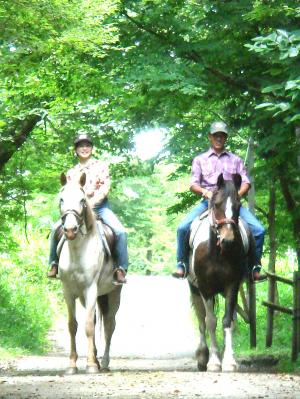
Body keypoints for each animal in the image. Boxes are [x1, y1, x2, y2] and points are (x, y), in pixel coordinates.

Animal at [57, 173, 120, 376]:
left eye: (82, 200)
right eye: (61, 199)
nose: (70, 230)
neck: (78, 250)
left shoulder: (91, 289)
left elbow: (90, 326)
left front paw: (91, 365)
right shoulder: (68, 292)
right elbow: (73, 325)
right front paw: (72, 365)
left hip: (113, 294)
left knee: (109, 325)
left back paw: (104, 362)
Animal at [189, 173, 254, 374]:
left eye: (238, 206)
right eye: (216, 204)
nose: (228, 240)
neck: (218, 253)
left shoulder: (232, 285)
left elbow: (227, 321)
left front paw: (229, 361)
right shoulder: (205, 288)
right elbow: (210, 321)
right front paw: (214, 362)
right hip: (194, 289)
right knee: (201, 320)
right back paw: (203, 356)